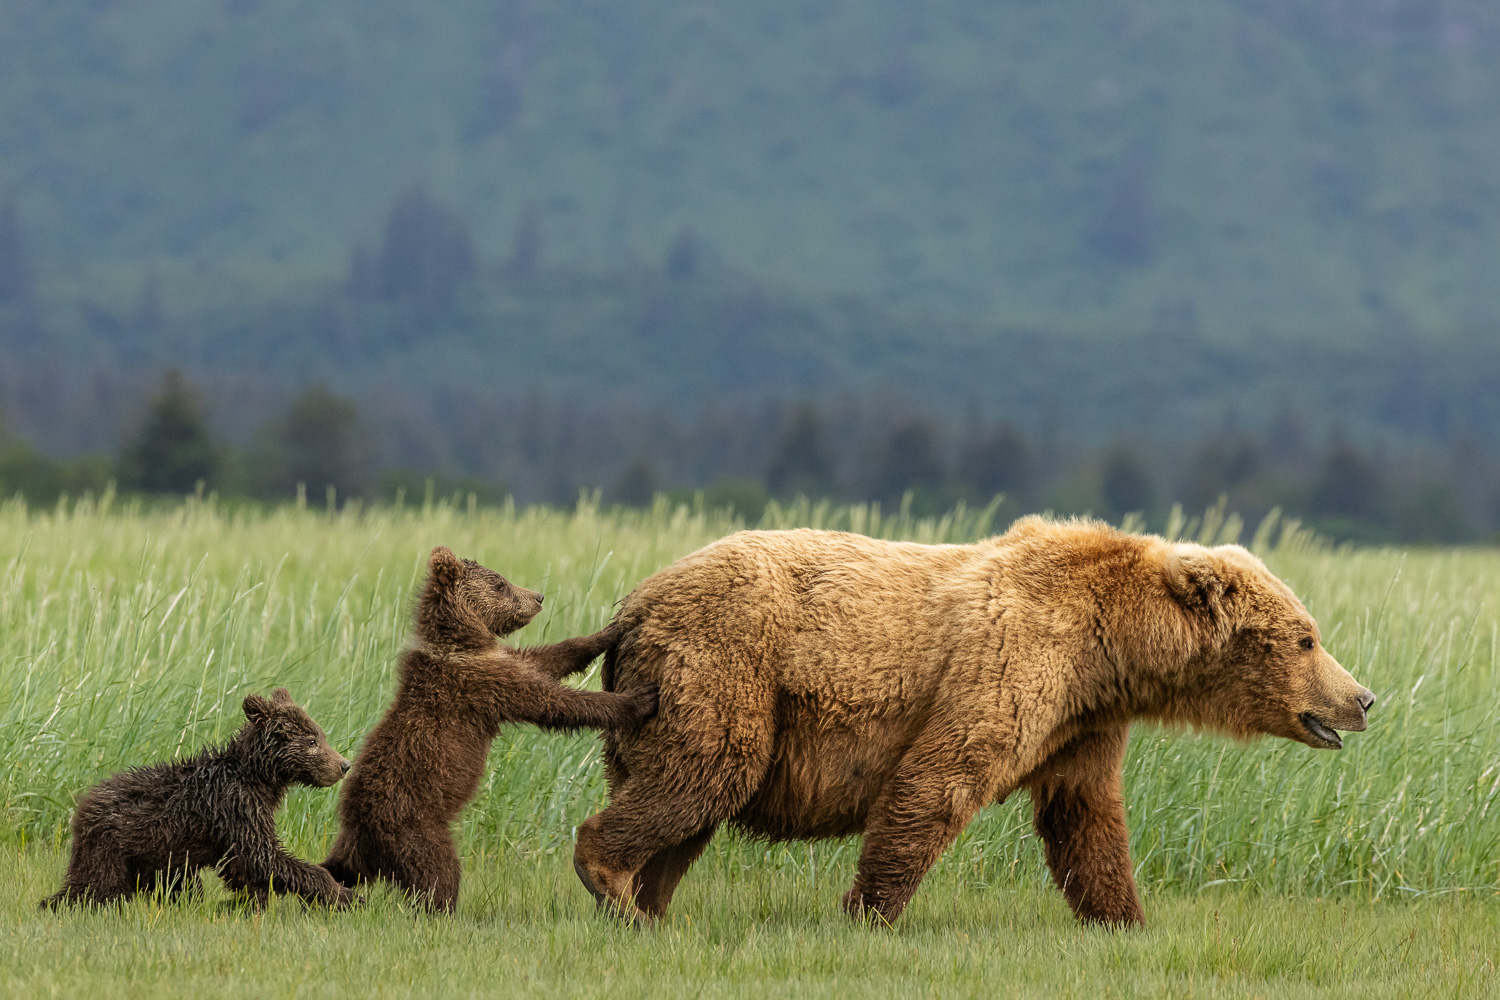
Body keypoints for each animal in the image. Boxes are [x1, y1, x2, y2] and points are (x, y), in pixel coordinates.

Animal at [43, 687, 352, 909]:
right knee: (97, 890)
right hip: (113, 849)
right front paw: (345, 895)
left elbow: (243, 868)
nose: (344, 765)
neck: (260, 779)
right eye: (312, 741)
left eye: (321, 735)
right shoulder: (236, 807)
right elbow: (263, 857)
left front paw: (247, 903)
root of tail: (81, 810)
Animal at [322, 546, 659, 913]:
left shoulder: (501, 660)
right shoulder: (482, 685)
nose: (538, 596)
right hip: (414, 827)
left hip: (363, 844)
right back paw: (443, 912)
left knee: (341, 869)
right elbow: (553, 701)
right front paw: (639, 699)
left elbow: (547, 657)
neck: (463, 641)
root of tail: (357, 825)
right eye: (499, 584)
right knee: (438, 873)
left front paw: (612, 629)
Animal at [572, 517, 1377, 928]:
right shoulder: (1014, 663)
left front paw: (1124, 918)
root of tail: (633, 604)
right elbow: (939, 779)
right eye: (1307, 638)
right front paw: (868, 911)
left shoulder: (1083, 720)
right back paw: (613, 883)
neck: (1113, 648)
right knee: (704, 775)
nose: (1364, 698)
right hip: (725, 665)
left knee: (690, 799)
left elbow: (1085, 815)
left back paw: (651, 903)